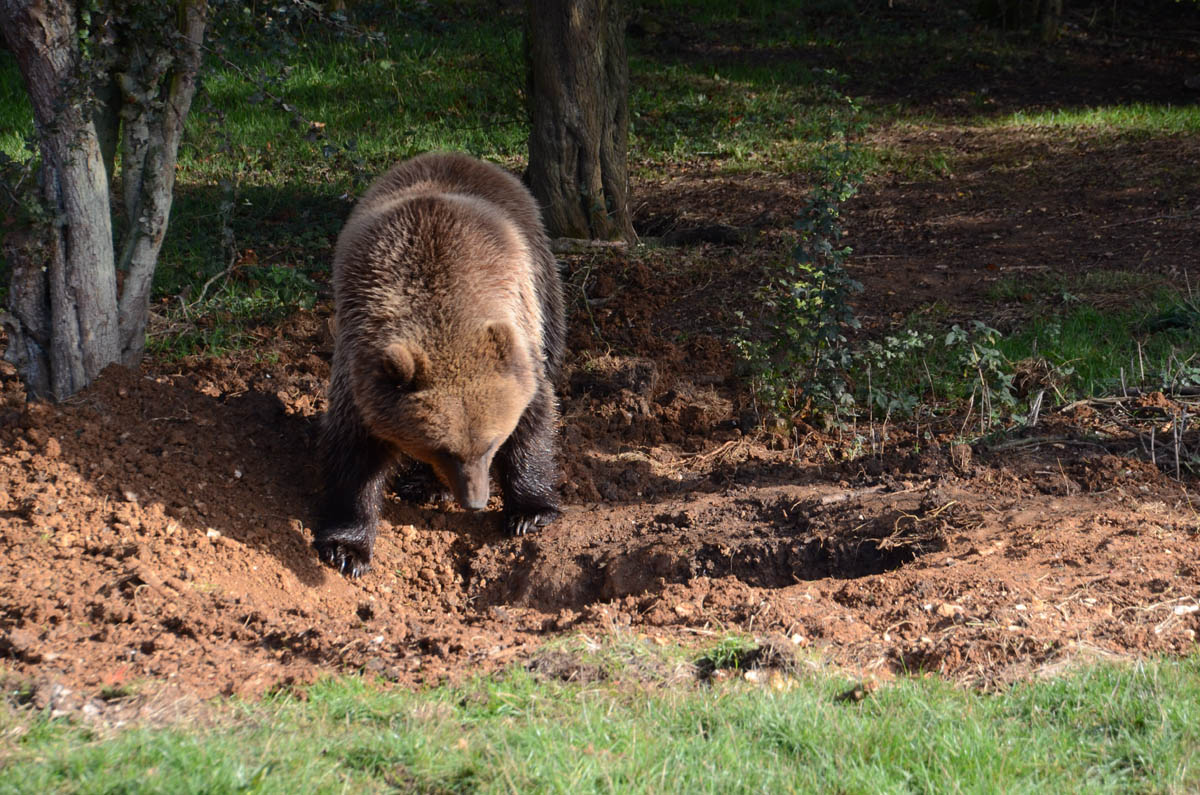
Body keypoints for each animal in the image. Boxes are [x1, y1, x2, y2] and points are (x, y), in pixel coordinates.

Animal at [314, 152, 566, 577]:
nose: (475, 501)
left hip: (544, 277)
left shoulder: (521, 343)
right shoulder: (360, 367)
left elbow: (534, 419)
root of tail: (450, 154)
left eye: (491, 443)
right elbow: (355, 453)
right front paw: (347, 548)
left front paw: (531, 512)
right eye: (443, 449)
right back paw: (423, 485)